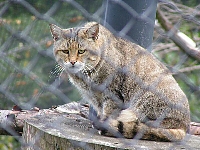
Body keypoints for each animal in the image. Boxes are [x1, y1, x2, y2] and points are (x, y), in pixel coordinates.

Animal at [49, 21, 190, 141]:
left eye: (81, 51)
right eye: (65, 51)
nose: (72, 62)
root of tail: (183, 127)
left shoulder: (112, 94)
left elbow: (109, 112)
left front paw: (105, 124)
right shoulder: (95, 98)